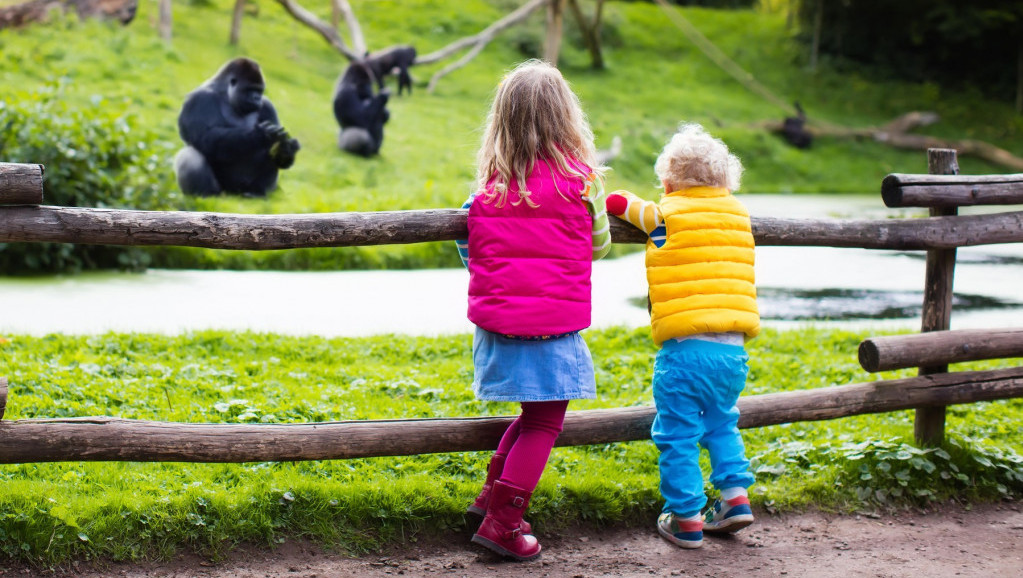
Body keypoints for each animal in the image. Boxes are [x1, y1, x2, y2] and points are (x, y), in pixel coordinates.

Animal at [171, 57, 298, 196]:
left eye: (259, 90)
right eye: (250, 89)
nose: (257, 98)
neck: (225, 93)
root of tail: (234, 193)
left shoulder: (268, 105)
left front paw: (287, 149)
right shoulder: (198, 99)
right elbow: (205, 138)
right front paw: (262, 134)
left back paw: (256, 193)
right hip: (223, 191)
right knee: (190, 155)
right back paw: (205, 195)